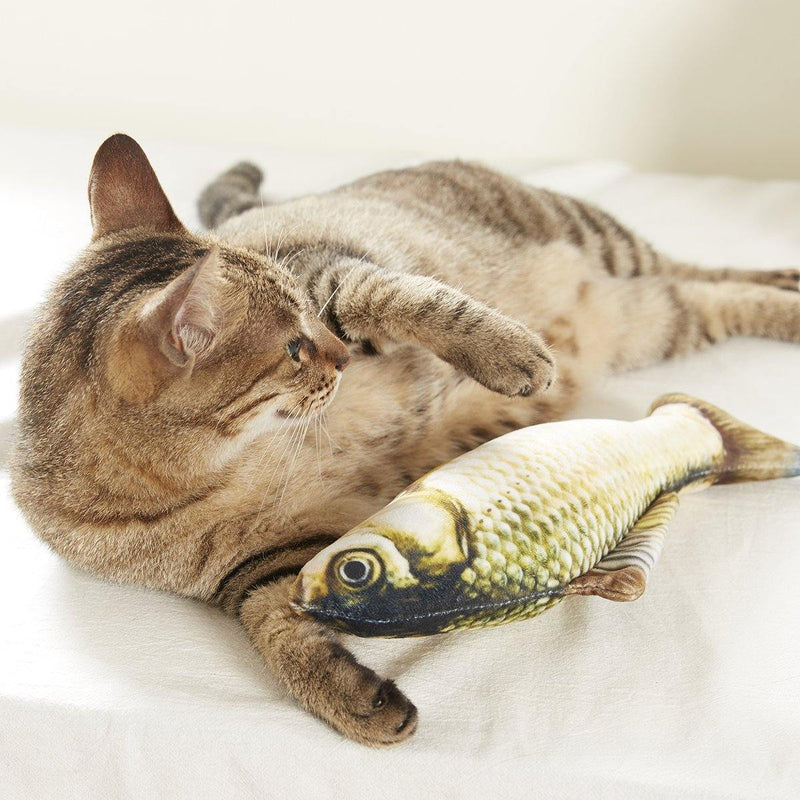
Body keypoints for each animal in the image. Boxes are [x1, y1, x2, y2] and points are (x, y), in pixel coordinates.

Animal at [10, 134, 800, 748]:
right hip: (662, 319)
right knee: (714, 293)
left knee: (713, 270)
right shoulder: (262, 569)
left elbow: (416, 299)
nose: (336, 356)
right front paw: (353, 700)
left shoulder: (333, 274)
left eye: (307, 326)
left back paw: (786, 286)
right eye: (293, 349)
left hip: (611, 248)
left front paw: (513, 354)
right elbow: (279, 634)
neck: (232, 463)